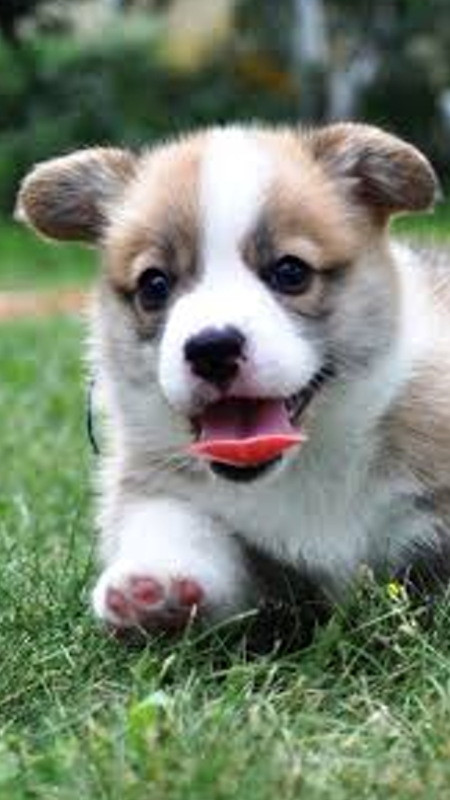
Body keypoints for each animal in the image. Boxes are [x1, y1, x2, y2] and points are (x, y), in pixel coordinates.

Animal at [16, 122, 450, 644]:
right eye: (154, 285)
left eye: (290, 271)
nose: (212, 348)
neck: (306, 464)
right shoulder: (167, 488)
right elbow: (180, 527)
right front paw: (151, 587)